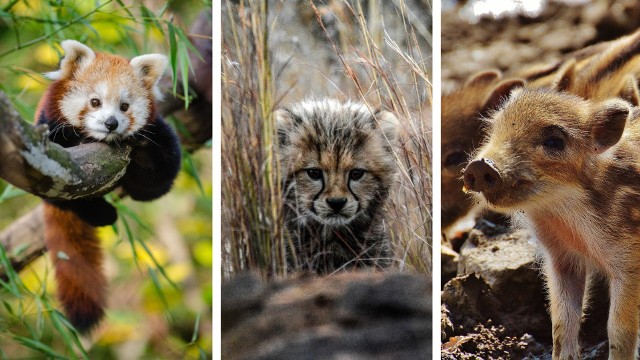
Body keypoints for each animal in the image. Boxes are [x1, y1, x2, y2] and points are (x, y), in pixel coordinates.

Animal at [37, 40, 181, 334]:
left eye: (125, 106)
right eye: (95, 102)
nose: (111, 123)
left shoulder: (159, 135)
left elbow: (158, 180)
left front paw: (141, 147)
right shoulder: (48, 130)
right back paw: (102, 214)